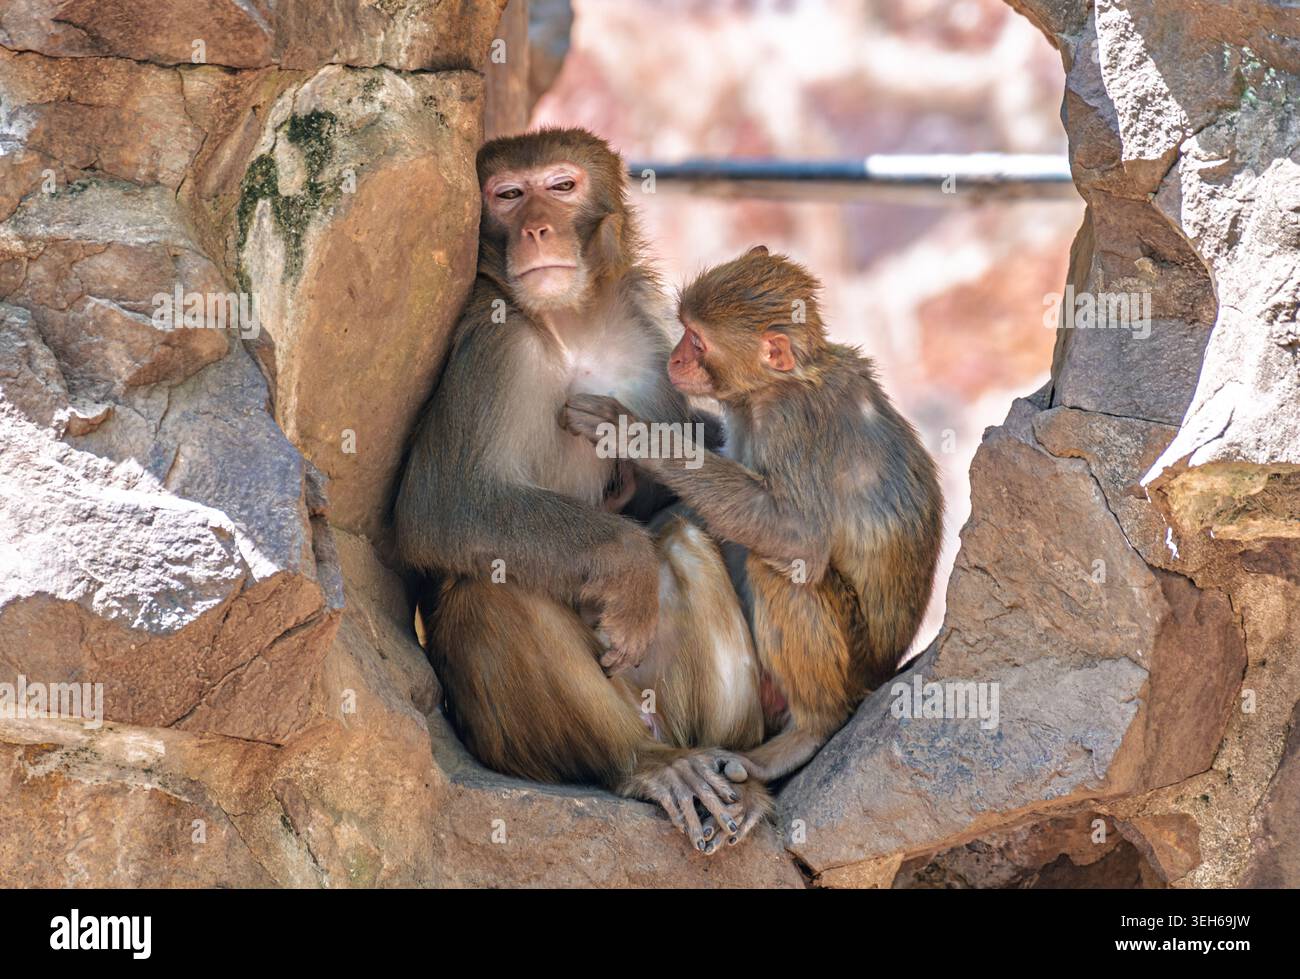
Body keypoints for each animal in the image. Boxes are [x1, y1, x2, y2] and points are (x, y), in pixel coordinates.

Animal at [394, 129, 771, 853]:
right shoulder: (494, 346)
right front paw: (625, 563)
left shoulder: (650, 355)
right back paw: (652, 766)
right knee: (494, 589)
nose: (536, 227)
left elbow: (662, 500)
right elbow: (440, 508)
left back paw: (726, 765)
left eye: (561, 186)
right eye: (508, 195)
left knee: (682, 535)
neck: (573, 325)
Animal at [564, 245, 943, 784]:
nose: (674, 358)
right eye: (683, 329)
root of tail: (883, 671)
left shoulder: (790, 422)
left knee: (782, 571)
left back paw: (811, 730)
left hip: (852, 666)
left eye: (696, 340)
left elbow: (798, 536)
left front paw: (633, 435)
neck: (775, 384)